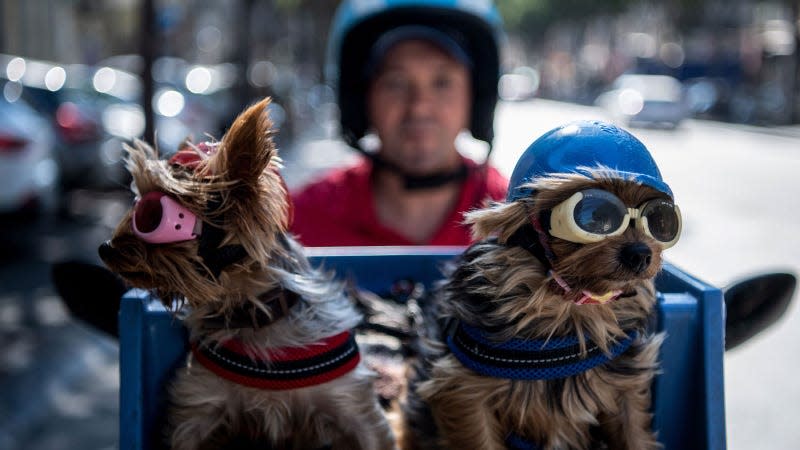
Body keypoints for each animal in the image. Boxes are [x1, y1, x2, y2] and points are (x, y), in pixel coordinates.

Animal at [98, 99, 396, 450]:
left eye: (154, 217)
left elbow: (370, 432)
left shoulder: (354, 407)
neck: (253, 316)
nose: (105, 248)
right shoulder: (196, 408)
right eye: (138, 208)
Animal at [404, 123, 680, 450]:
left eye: (662, 221)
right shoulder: (463, 391)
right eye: (594, 215)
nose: (640, 254)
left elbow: (635, 435)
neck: (566, 302)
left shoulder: (625, 385)